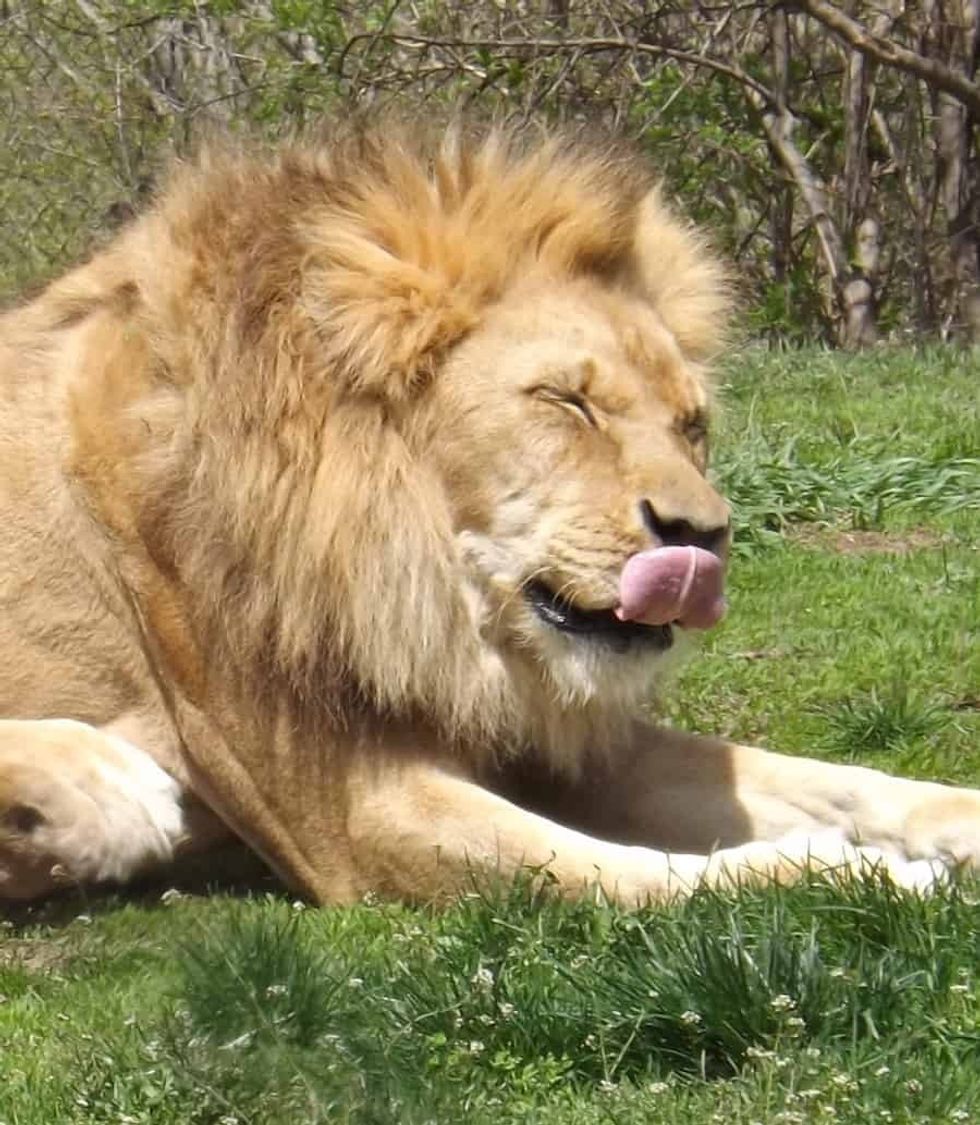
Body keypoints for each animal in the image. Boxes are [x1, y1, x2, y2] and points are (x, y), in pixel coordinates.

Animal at [0, 124, 977, 906]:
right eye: (568, 402)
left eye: (691, 424)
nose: (704, 538)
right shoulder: (350, 816)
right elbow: (615, 875)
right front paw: (868, 873)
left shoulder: (556, 738)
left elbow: (833, 780)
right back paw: (98, 796)